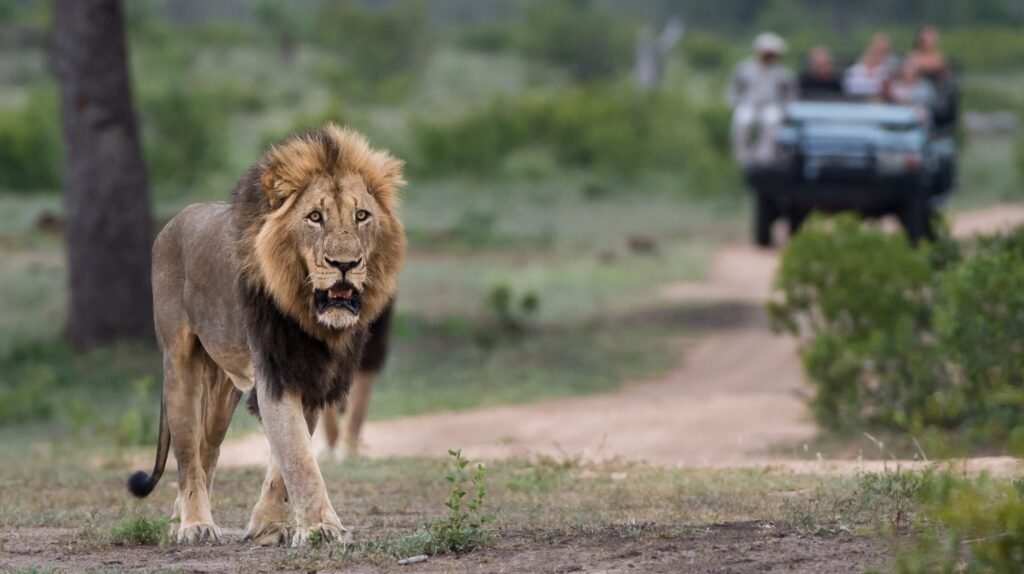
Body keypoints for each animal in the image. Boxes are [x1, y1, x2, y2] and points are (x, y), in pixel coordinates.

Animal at [127, 124, 406, 547]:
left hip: (223, 388)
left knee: (208, 450)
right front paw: (321, 528)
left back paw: (180, 520)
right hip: (180, 365)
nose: (345, 264)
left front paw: (268, 526)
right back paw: (195, 525)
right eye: (314, 217)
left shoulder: (310, 374)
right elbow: (298, 456)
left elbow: (285, 461)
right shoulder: (276, 370)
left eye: (362, 216)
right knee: (188, 453)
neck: (308, 314)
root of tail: (172, 223)